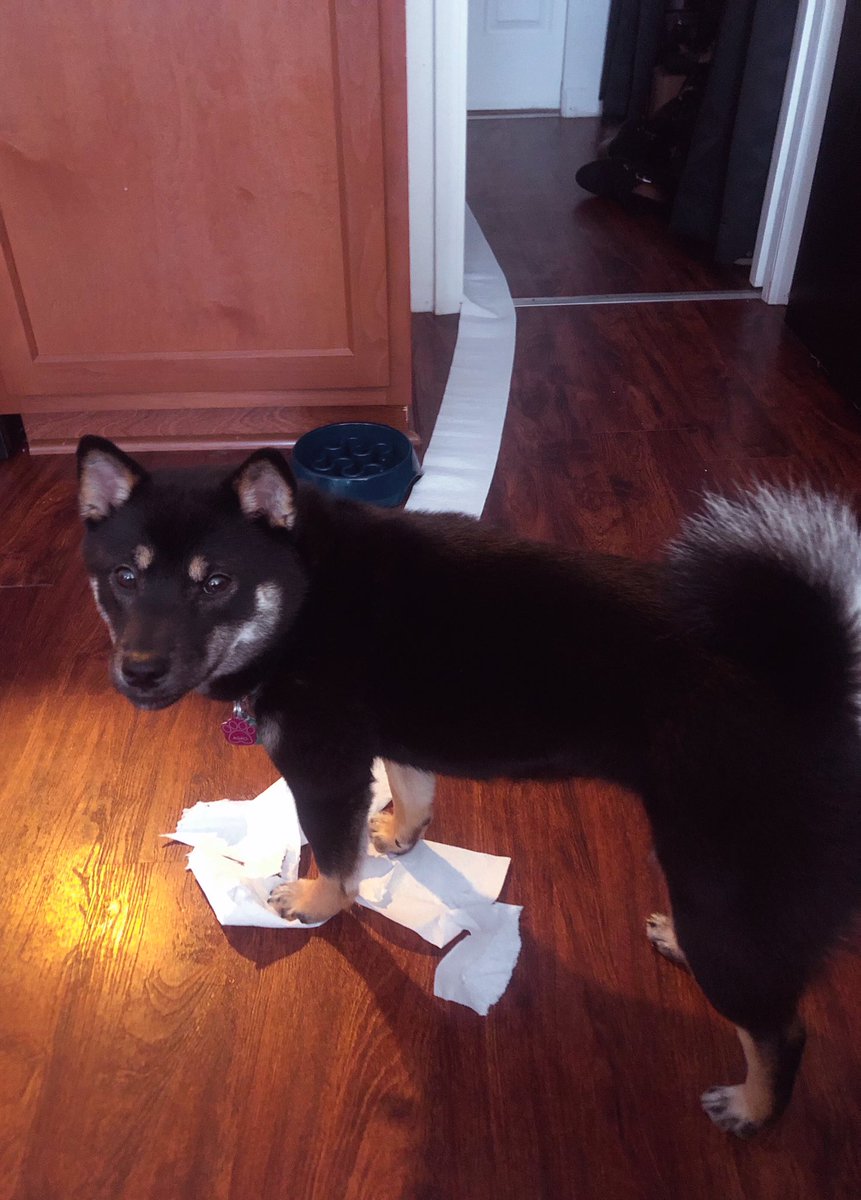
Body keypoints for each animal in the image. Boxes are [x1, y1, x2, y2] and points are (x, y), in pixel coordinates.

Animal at [77, 434, 861, 1138]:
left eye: (216, 584)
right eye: (124, 577)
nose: (139, 671)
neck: (307, 592)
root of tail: (818, 682)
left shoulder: (322, 771)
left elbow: (335, 863)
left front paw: (314, 903)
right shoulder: (388, 740)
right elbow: (410, 789)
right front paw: (399, 833)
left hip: (725, 886)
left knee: (781, 1027)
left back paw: (754, 1108)